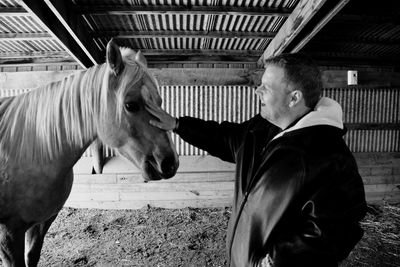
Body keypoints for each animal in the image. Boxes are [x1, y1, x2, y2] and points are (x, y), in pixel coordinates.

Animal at [0, 39, 178, 267]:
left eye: (160, 102)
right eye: (130, 105)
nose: (170, 163)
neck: (32, 149)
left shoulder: (41, 223)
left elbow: (32, 256)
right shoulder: (8, 233)